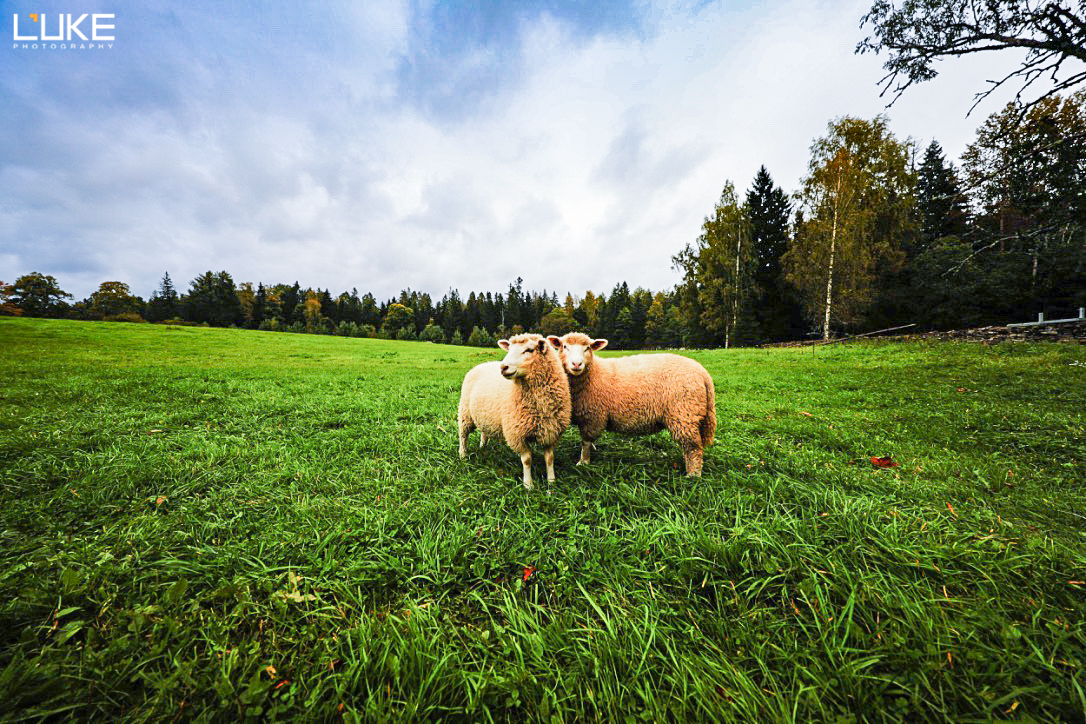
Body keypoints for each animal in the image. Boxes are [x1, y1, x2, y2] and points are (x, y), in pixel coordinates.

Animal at [460, 332, 577, 490]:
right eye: (509, 349)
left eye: (529, 350)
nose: (503, 367)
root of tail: (484, 364)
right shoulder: (517, 433)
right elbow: (527, 460)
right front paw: (528, 485)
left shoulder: (551, 431)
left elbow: (550, 458)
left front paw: (552, 482)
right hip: (465, 412)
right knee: (463, 435)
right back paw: (463, 455)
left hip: (484, 415)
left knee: (484, 431)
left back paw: (483, 447)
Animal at [547, 332, 716, 475]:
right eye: (564, 347)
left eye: (587, 348)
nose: (576, 364)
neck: (593, 373)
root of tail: (704, 374)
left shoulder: (593, 416)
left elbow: (586, 442)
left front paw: (583, 462)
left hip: (684, 414)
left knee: (693, 448)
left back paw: (692, 475)